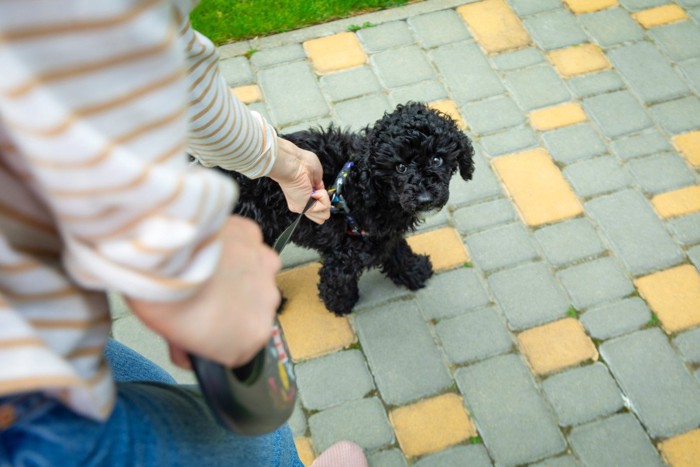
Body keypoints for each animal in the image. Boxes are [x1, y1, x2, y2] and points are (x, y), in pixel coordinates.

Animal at [219, 102, 474, 314]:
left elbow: (396, 248)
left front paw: (413, 270)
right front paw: (339, 304)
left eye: (437, 160)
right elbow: (338, 278)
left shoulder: (382, 235)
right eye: (400, 167)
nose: (425, 198)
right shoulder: (345, 249)